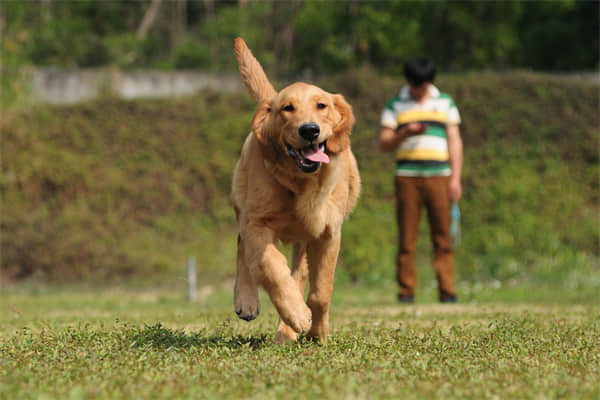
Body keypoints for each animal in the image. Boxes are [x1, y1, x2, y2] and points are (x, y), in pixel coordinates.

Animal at [232, 38, 358, 344]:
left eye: (322, 105)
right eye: (287, 108)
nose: (309, 130)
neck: (302, 183)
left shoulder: (329, 233)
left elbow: (321, 292)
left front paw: (317, 332)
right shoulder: (258, 223)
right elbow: (272, 268)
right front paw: (298, 315)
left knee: (299, 276)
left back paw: (287, 331)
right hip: (242, 201)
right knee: (243, 246)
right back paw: (248, 301)